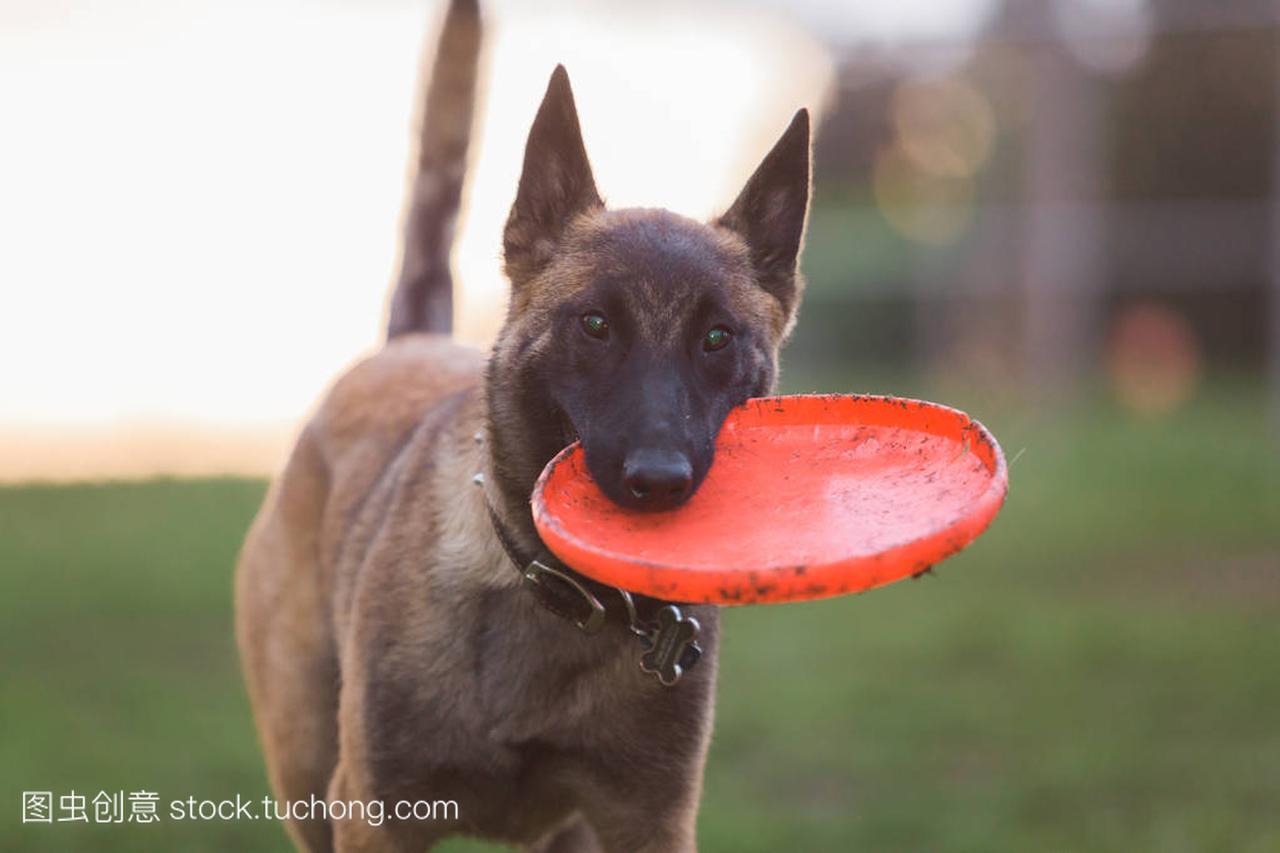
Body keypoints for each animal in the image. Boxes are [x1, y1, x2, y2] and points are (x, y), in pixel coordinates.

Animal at [236, 1, 814, 845]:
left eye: (717, 339)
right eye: (596, 324)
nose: (658, 481)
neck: (562, 595)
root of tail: (408, 343)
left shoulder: (646, 819)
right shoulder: (374, 812)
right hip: (306, 772)